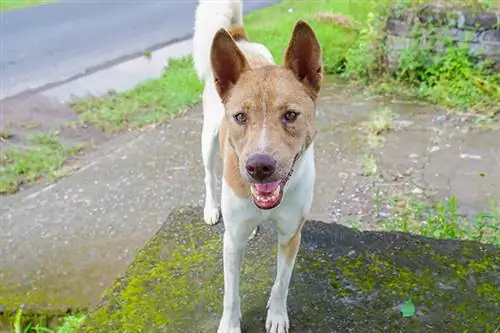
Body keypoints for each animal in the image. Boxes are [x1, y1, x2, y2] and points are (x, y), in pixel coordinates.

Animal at [191, 1, 324, 330]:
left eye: (291, 115)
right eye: (240, 117)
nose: (259, 167)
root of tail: (239, 38)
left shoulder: (291, 235)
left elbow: (281, 283)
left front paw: (276, 316)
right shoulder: (231, 243)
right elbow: (231, 294)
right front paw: (229, 325)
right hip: (208, 140)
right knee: (209, 176)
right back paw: (212, 208)